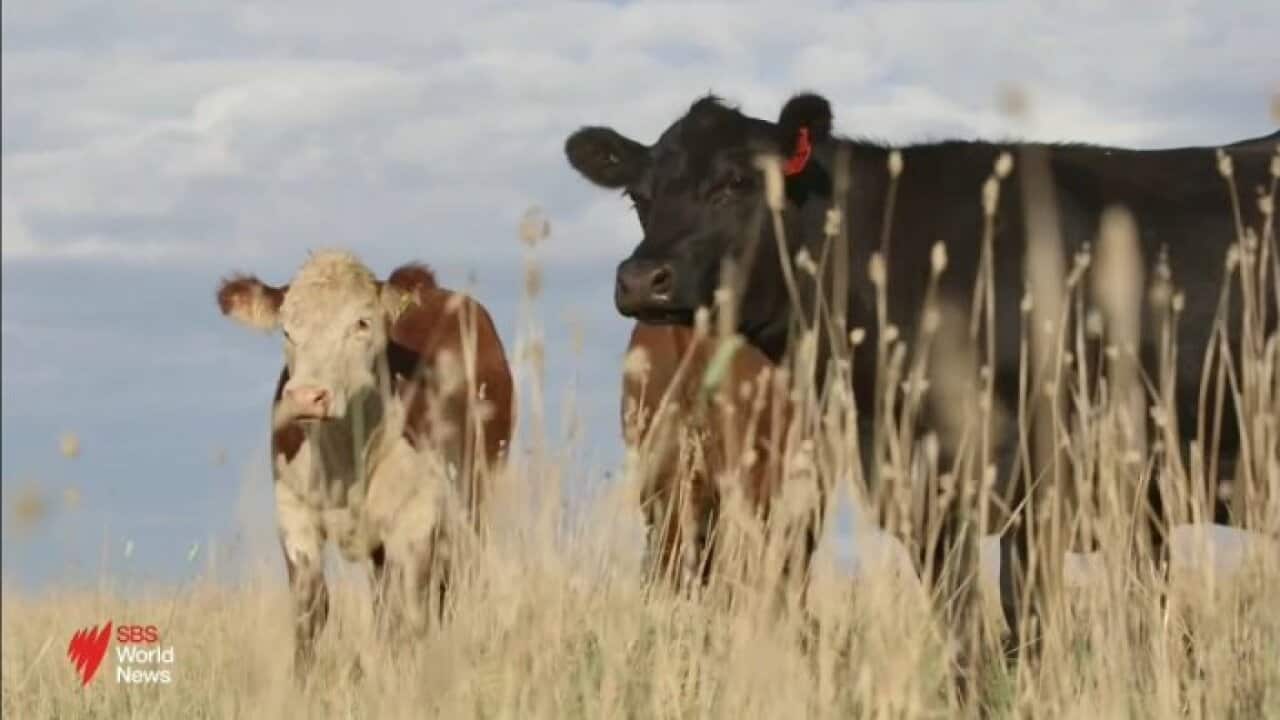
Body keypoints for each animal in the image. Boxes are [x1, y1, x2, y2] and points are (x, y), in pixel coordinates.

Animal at [216, 250, 514, 677]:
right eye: (287, 329)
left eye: (361, 322)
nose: (307, 396)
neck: (344, 461)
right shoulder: (293, 511)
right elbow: (311, 610)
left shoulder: (416, 519)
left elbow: (412, 612)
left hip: (474, 502)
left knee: (451, 585)